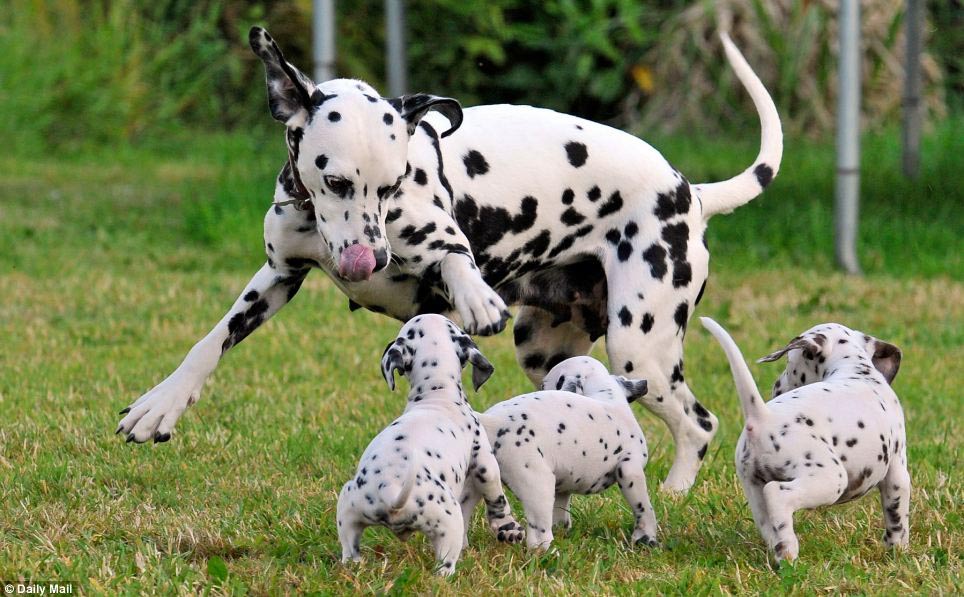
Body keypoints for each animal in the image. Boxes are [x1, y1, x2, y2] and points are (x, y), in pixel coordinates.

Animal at [336, 314, 524, 576]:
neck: (437, 393)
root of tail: (391, 491)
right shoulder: (484, 461)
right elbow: (496, 496)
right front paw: (509, 527)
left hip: (348, 507)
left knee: (349, 550)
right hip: (448, 520)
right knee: (445, 565)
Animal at [696, 316, 908, 564]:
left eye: (789, 363)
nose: (776, 386)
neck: (854, 370)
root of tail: (762, 416)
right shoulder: (897, 471)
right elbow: (897, 517)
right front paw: (898, 551)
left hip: (753, 485)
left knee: (769, 521)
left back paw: (781, 548)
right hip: (829, 479)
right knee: (777, 494)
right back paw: (788, 553)